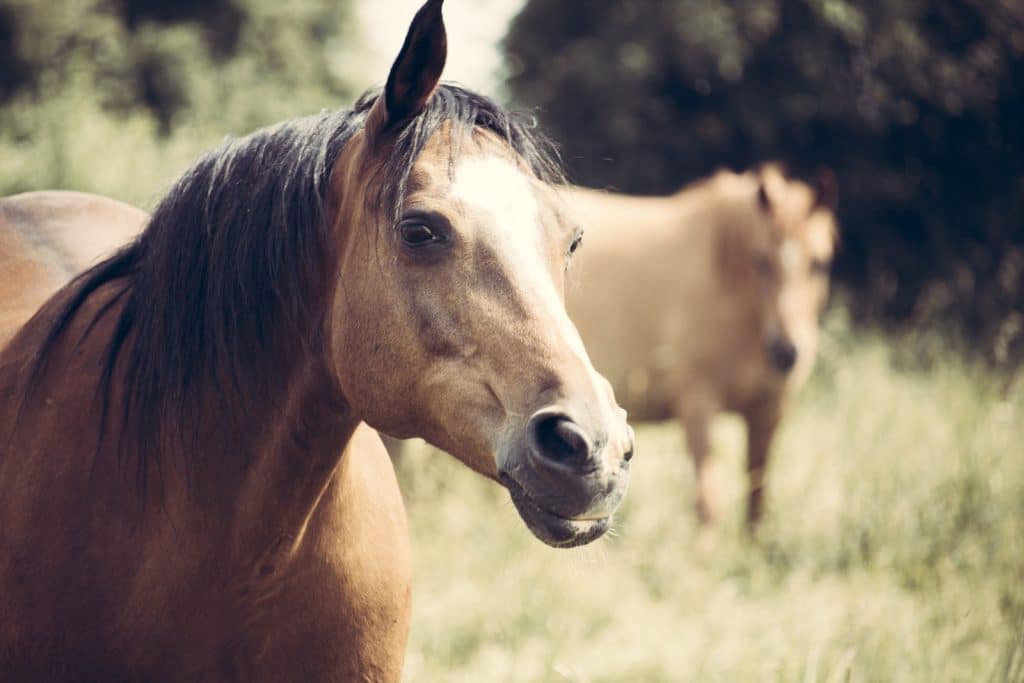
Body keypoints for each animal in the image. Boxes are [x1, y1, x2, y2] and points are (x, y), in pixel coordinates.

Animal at [565, 163, 835, 528]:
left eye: (820, 263)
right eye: (761, 261)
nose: (786, 352)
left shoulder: (768, 411)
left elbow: (757, 500)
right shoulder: (697, 405)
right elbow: (708, 505)